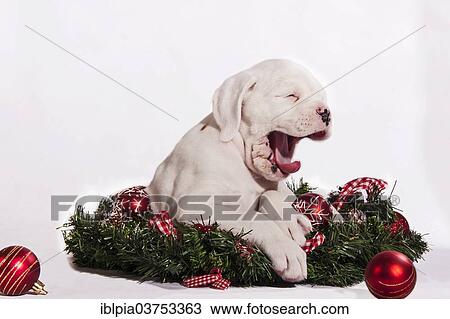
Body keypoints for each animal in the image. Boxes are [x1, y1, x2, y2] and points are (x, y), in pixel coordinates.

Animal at [150, 60, 330, 282]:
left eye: (322, 98)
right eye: (290, 95)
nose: (326, 112)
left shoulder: (282, 188)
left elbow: (272, 194)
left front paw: (291, 222)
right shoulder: (195, 207)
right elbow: (253, 217)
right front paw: (286, 248)